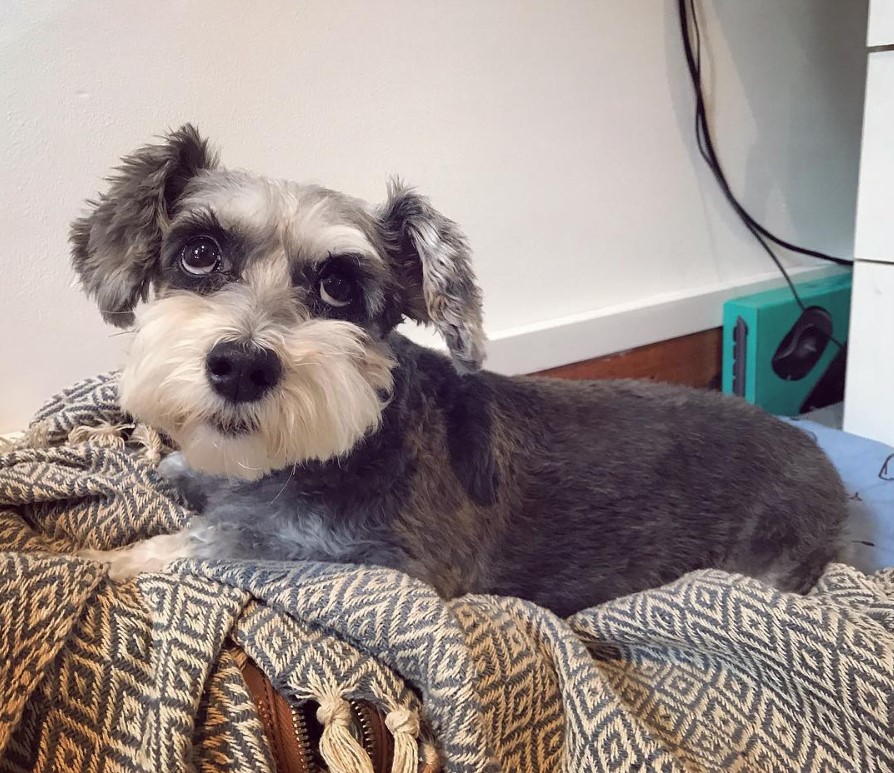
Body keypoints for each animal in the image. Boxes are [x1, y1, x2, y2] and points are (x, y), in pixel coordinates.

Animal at [72, 125, 848, 616]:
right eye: (199, 253)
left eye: (339, 286)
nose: (240, 366)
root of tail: (818, 458)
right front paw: (175, 475)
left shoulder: (390, 562)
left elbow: (224, 542)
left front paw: (122, 558)